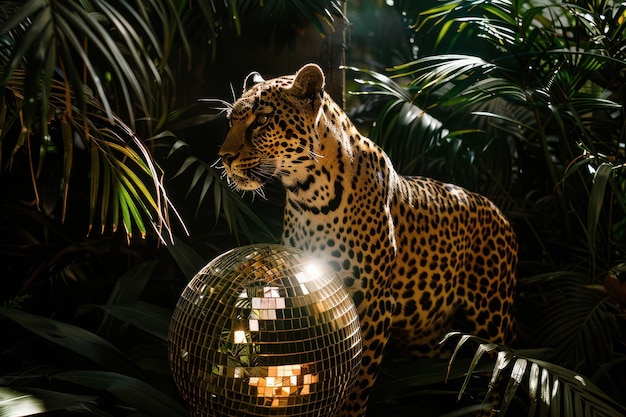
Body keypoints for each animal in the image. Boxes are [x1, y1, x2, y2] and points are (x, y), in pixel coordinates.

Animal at [217, 63, 516, 414]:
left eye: (262, 120)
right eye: (231, 121)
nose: (224, 157)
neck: (309, 194)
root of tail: (499, 211)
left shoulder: (373, 303)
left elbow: (357, 380)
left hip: (490, 319)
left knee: (499, 372)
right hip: (426, 336)